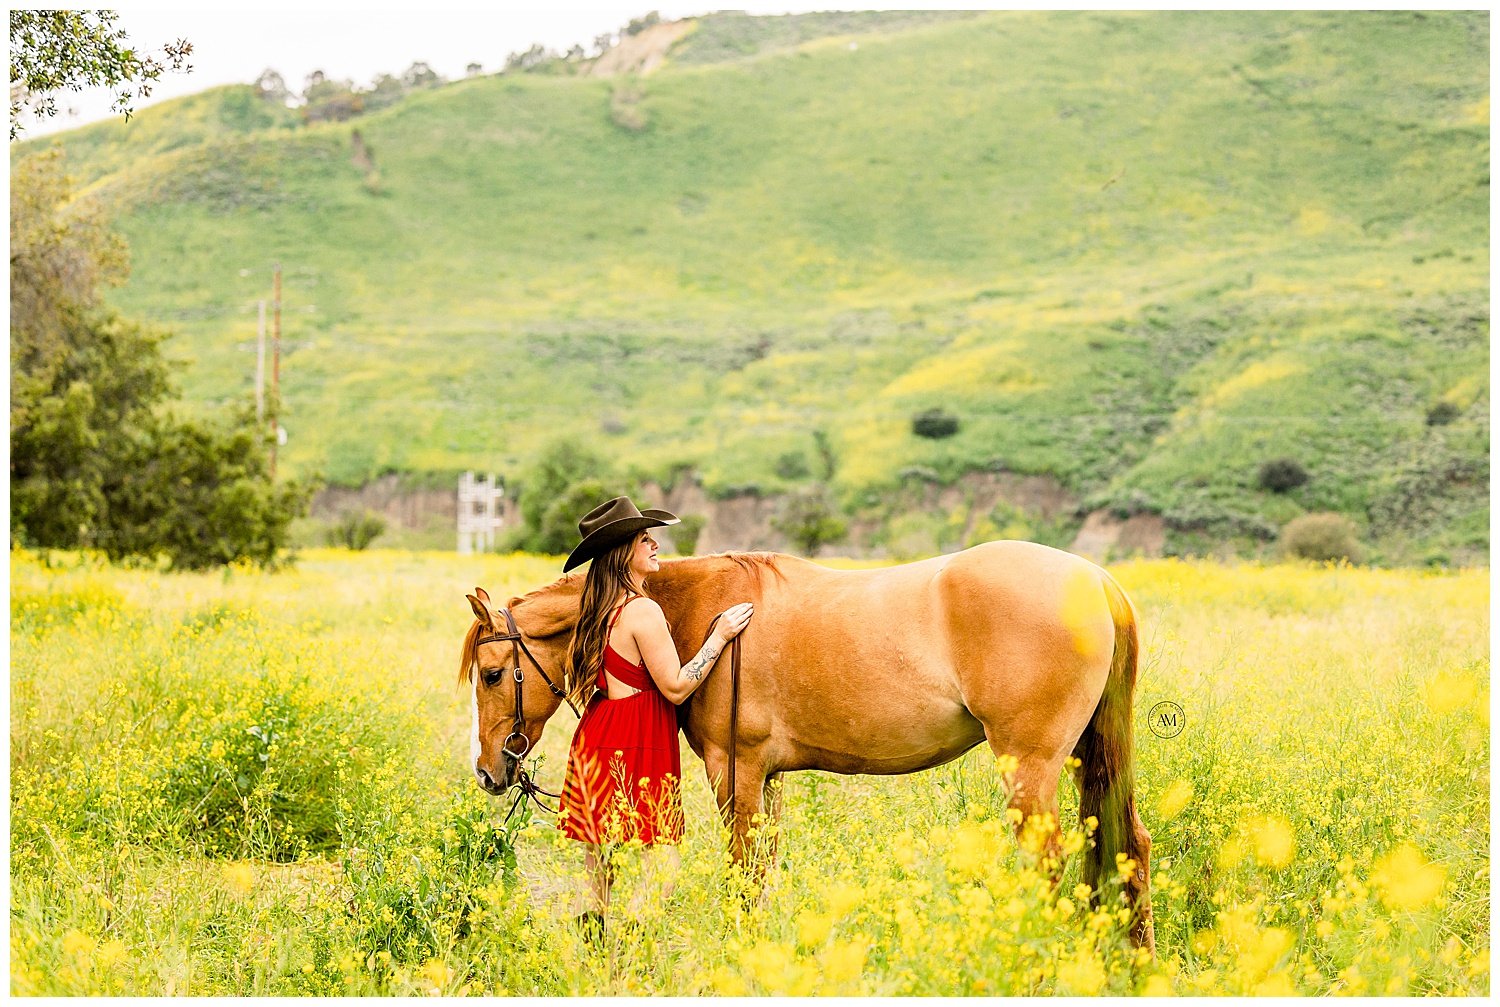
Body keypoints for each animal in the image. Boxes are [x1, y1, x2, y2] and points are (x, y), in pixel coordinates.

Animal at [462, 543, 1152, 954]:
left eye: (492, 674)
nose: (491, 771)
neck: (695, 609)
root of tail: (1097, 580)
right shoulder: (768, 778)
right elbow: (761, 872)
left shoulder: (734, 772)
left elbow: (742, 873)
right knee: (1126, 846)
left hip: (1028, 771)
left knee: (1053, 862)